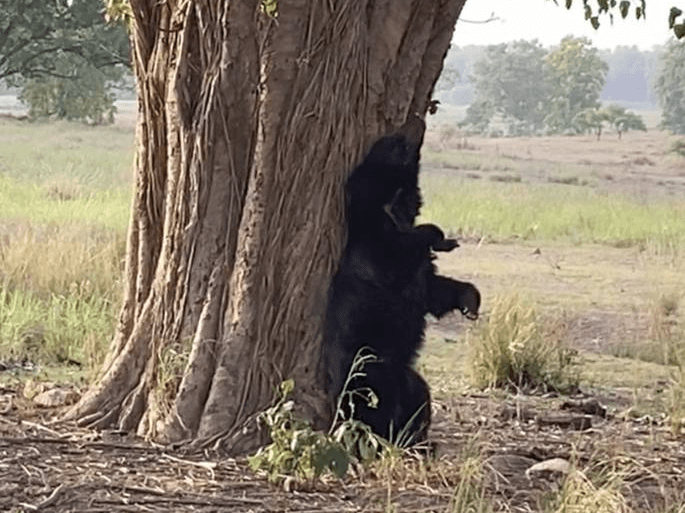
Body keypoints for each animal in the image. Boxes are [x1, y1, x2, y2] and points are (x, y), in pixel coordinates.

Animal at [322, 131, 481, 445]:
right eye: (392, 145)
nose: (406, 130)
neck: (391, 208)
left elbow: (432, 289)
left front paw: (471, 299)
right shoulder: (371, 244)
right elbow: (393, 260)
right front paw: (438, 236)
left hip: (405, 376)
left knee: (418, 396)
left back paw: (417, 439)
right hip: (366, 368)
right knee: (368, 406)